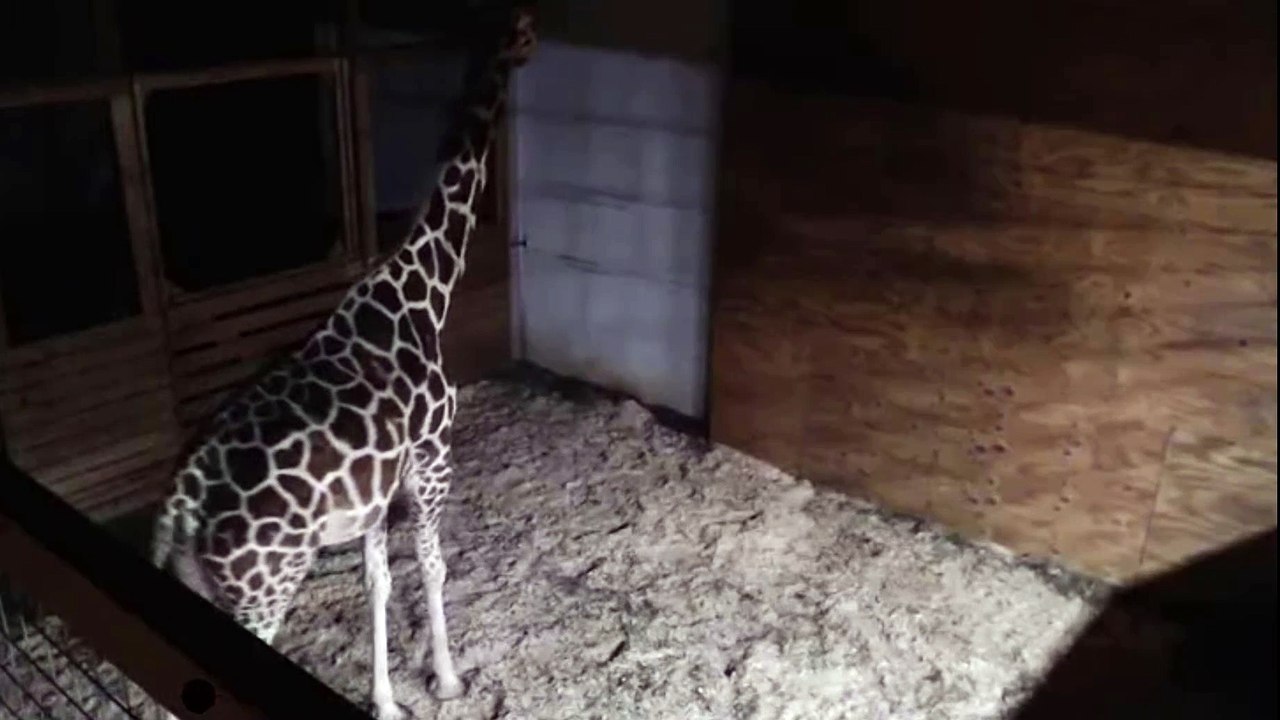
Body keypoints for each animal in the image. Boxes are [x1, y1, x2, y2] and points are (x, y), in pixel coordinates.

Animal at [148, 8, 536, 720]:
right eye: (522, 32)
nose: (528, 49)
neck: (422, 290)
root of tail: (179, 503)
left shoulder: (373, 497)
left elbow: (376, 581)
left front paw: (385, 700)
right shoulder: (431, 462)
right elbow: (433, 566)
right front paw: (447, 680)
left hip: (197, 586)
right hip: (262, 587)